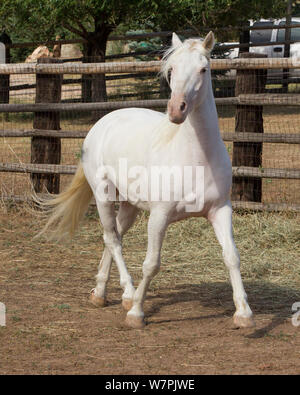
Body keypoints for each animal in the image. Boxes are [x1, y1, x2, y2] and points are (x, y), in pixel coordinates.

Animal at [39, 31, 254, 330]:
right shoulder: (159, 216)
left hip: (129, 205)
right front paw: (137, 314)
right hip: (103, 196)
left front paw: (244, 314)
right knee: (113, 239)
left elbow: (232, 257)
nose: (176, 110)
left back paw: (100, 293)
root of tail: (102, 123)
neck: (196, 159)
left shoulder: (220, 210)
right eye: (171, 69)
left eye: (204, 69)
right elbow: (151, 263)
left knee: (113, 236)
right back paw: (127, 295)